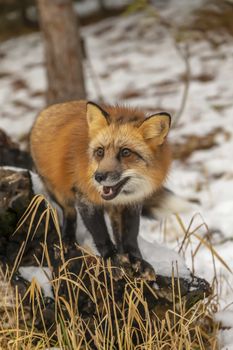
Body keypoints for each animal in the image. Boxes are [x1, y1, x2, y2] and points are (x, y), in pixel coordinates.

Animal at [30, 100, 172, 278]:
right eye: (100, 152)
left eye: (125, 152)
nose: (98, 176)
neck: (122, 195)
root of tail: (51, 108)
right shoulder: (86, 199)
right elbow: (100, 234)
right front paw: (112, 260)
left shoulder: (132, 202)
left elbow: (130, 236)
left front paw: (137, 261)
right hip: (58, 190)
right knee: (69, 212)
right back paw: (68, 241)